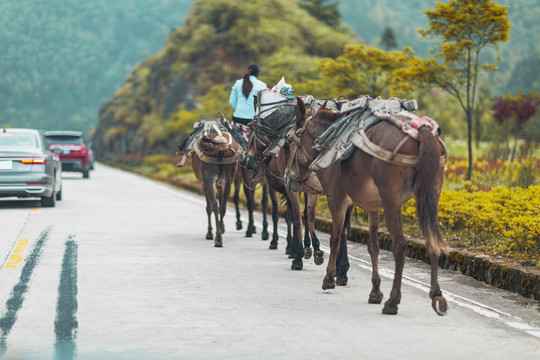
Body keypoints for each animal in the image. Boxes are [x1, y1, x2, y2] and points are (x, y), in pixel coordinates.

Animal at [288, 98, 450, 316]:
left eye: (290, 141)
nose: (289, 177)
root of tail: (422, 131)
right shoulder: (373, 206)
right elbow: (373, 246)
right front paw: (375, 291)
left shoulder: (337, 199)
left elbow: (335, 238)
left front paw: (329, 278)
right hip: (430, 195)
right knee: (431, 238)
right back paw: (436, 294)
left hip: (392, 201)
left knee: (400, 245)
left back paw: (393, 301)